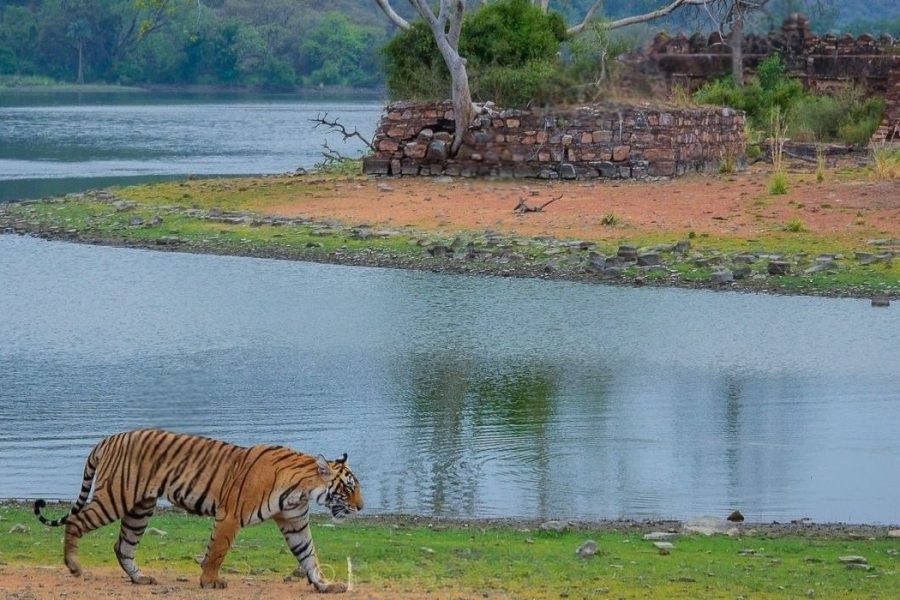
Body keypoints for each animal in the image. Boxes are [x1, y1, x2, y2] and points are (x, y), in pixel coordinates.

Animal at [33, 429, 362, 593]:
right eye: (348, 488)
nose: (361, 507)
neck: (301, 489)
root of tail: (107, 439)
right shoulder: (230, 516)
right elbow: (217, 551)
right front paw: (210, 582)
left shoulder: (295, 522)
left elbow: (309, 555)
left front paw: (325, 585)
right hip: (115, 498)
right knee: (76, 521)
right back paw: (74, 566)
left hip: (140, 509)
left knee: (122, 546)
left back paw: (140, 579)